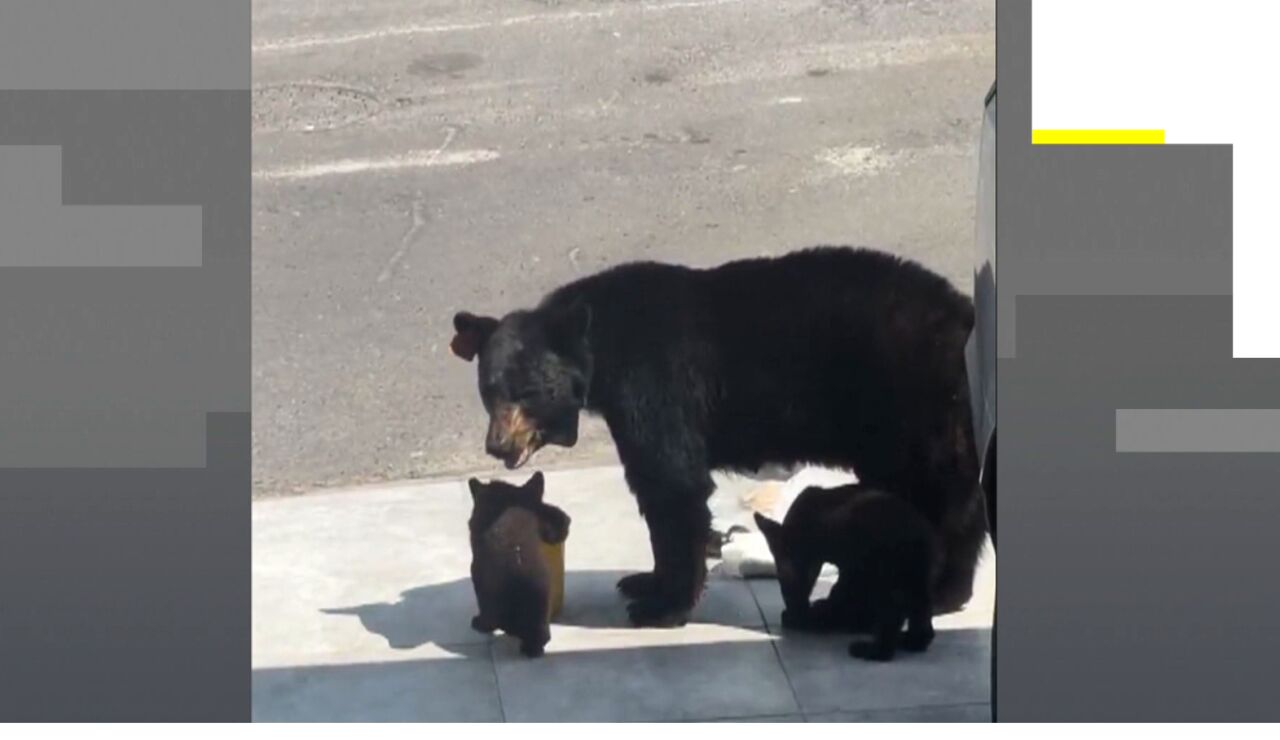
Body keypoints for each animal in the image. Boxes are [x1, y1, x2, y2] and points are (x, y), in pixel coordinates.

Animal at [450, 246, 985, 628]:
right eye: (488, 390)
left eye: (529, 391)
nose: (498, 446)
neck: (603, 345)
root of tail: (963, 312)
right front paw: (644, 582)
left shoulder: (653, 381)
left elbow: (672, 482)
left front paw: (664, 606)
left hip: (913, 403)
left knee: (940, 494)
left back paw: (944, 589)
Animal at [753, 484, 940, 661]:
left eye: (784, 577)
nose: (793, 604)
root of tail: (920, 537)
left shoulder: (854, 566)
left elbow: (839, 593)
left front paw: (804, 616)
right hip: (917, 581)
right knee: (923, 623)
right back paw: (910, 640)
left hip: (886, 580)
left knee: (892, 617)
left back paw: (871, 649)